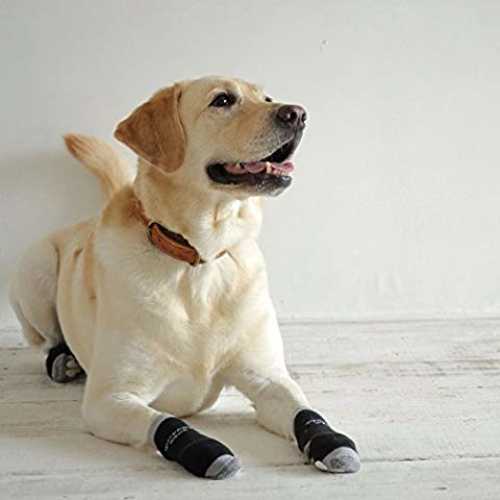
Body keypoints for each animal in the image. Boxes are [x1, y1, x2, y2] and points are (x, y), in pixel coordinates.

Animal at [9, 76, 360, 479]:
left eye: (267, 97)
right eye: (222, 100)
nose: (297, 114)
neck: (199, 260)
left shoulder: (268, 379)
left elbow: (305, 411)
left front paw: (330, 441)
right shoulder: (108, 399)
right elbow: (164, 421)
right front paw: (205, 450)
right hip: (34, 270)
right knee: (44, 340)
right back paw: (63, 359)